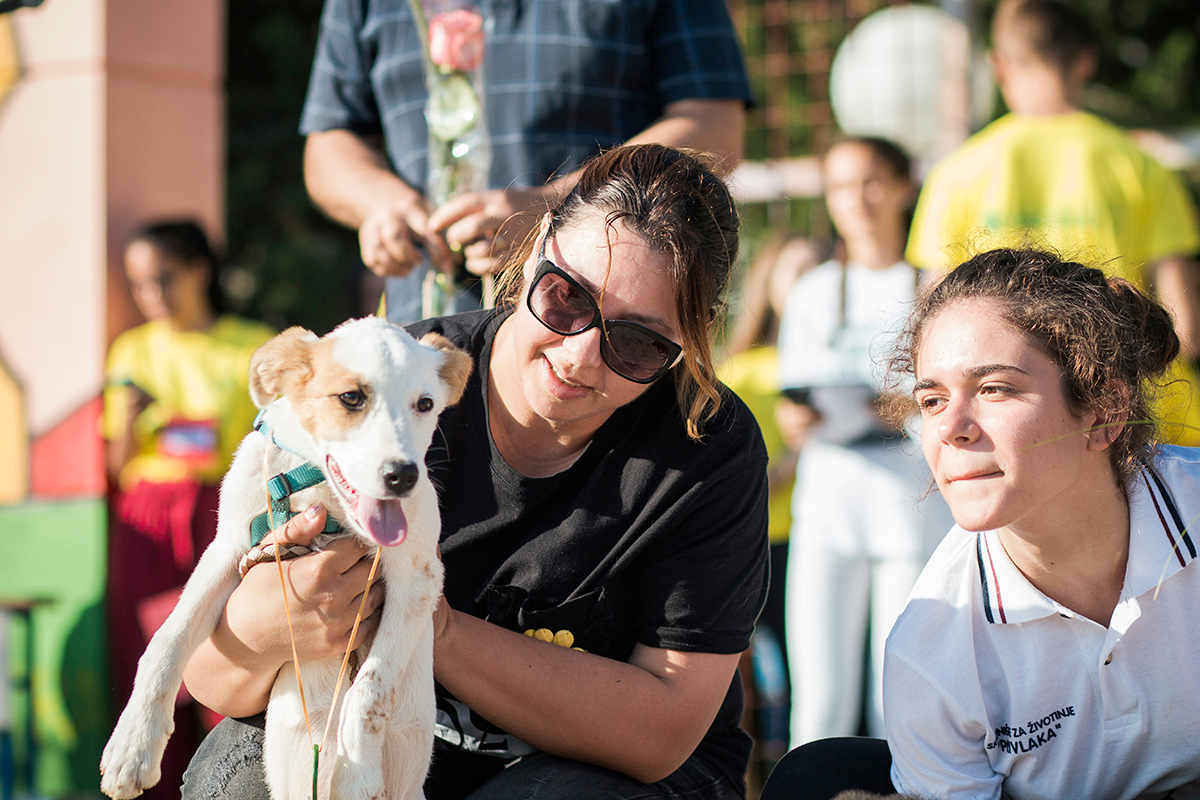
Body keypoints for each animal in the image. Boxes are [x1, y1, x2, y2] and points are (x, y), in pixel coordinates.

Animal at [100, 317, 472, 800]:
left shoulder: (418, 579)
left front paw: (357, 776)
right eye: (351, 397)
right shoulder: (229, 546)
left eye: (425, 404)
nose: (403, 476)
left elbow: (370, 692)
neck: (321, 492)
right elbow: (168, 639)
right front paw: (134, 745)